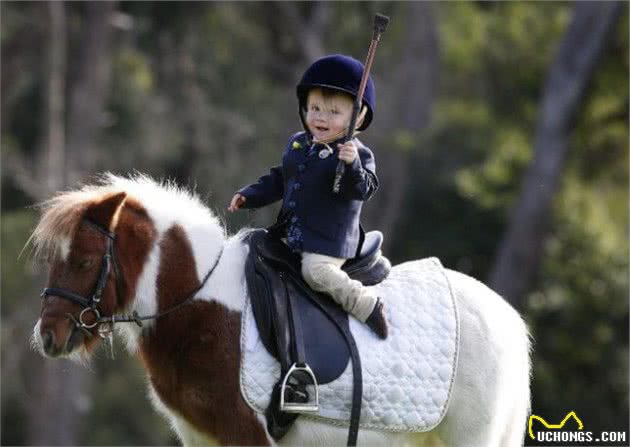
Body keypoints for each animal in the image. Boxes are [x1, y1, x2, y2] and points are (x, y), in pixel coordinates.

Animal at [30, 174, 532, 447]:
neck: (201, 306)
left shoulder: (245, 434)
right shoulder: (200, 437)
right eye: (53, 260)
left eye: (84, 261)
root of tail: (506, 319)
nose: (48, 336)